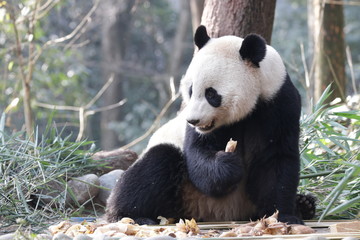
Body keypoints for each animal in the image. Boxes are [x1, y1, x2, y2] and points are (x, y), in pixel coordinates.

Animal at [105, 25, 316, 224]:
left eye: (211, 94)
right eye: (190, 90)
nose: (192, 120)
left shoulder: (279, 104)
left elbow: (276, 161)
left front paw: (282, 216)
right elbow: (199, 154)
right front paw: (229, 164)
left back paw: (305, 205)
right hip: (183, 189)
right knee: (154, 166)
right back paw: (127, 215)